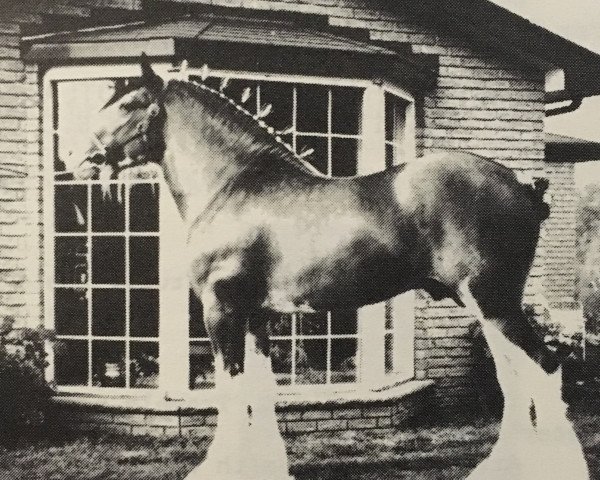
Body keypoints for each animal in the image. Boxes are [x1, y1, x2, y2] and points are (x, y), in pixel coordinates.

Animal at [72, 54, 588, 478]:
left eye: (129, 103)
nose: (78, 157)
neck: (234, 185)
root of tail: (522, 185)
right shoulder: (258, 316)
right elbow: (259, 392)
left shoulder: (222, 310)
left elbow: (232, 391)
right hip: (487, 307)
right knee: (515, 376)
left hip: (494, 302)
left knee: (543, 367)